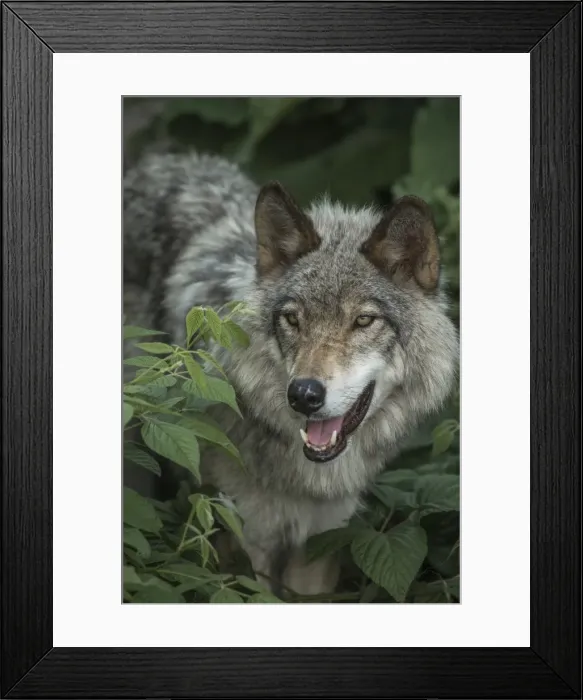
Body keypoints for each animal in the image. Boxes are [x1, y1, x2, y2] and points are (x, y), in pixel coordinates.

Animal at [123, 150, 459, 596]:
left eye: (364, 320)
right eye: (293, 319)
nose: (304, 394)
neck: (306, 477)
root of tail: (157, 161)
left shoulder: (321, 542)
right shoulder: (247, 539)